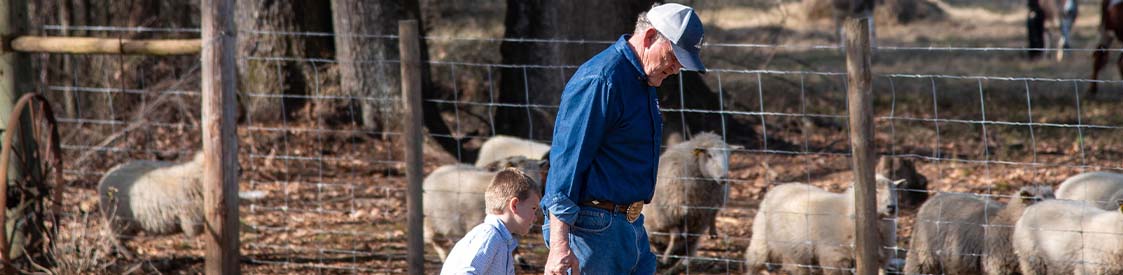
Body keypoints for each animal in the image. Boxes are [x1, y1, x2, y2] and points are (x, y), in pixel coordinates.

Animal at [642, 131, 736, 271]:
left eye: (728, 156)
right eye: (709, 155)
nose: (723, 178)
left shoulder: (706, 212)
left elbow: (711, 216)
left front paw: (713, 232)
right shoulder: (671, 212)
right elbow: (676, 236)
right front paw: (666, 258)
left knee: (689, 243)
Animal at [745, 175, 902, 273]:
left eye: (895, 191)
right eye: (875, 191)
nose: (892, 207)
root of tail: (778, 188)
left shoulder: (881, 260)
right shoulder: (833, 257)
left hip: (795, 249)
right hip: (762, 241)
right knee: (753, 263)